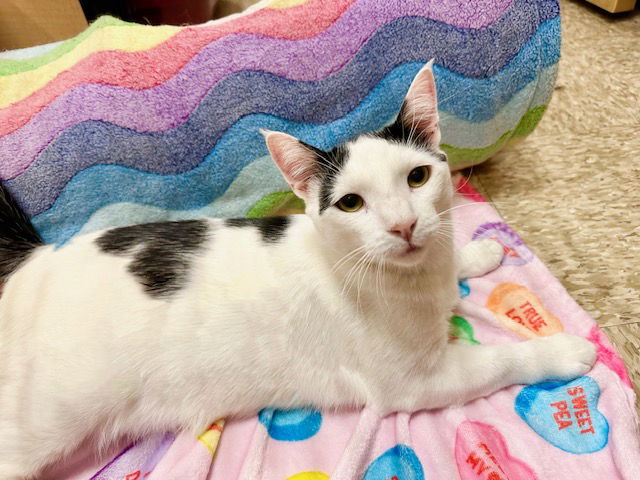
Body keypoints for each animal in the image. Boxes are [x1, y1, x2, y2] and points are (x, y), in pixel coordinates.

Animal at [0, 62, 596, 479]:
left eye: (417, 177)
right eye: (352, 203)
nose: (403, 225)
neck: (409, 280)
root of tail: (31, 263)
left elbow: (455, 263)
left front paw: (477, 254)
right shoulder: (417, 383)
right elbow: (500, 361)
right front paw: (563, 351)